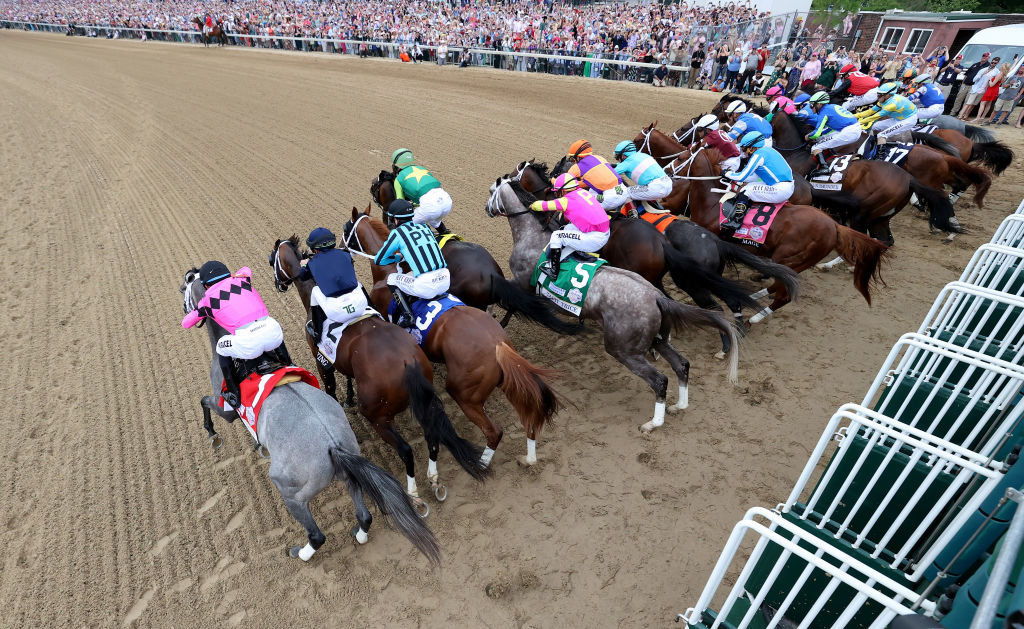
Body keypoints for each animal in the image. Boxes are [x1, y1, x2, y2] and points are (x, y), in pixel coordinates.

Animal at [180, 268, 440, 565]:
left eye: (184, 289)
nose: (182, 306)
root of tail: (334, 446)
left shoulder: (227, 409)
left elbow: (204, 402)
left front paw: (212, 433)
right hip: (349, 475)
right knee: (365, 515)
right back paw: (360, 533)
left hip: (291, 492)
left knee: (317, 535)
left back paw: (300, 553)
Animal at [268, 235, 483, 508]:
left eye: (272, 259)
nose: (278, 284)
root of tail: (408, 362)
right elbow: (348, 378)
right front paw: (348, 397)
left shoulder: (322, 361)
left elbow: (329, 389)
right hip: (422, 401)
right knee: (432, 436)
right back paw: (434, 481)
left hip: (377, 415)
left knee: (406, 451)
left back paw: (414, 496)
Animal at [344, 206, 561, 469]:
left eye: (347, 228)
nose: (342, 249)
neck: (390, 270)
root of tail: (498, 345)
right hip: (508, 378)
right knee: (528, 413)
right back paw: (529, 456)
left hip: (463, 391)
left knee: (494, 431)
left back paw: (481, 464)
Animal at [483, 177, 741, 434]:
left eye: (491, 192)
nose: (487, 208)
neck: (532, 236)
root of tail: (656, 297)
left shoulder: (522, 283)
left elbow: (504, 299)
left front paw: (493, 318)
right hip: (656, 337)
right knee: (682, 364)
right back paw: (679, 405)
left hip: (623, 348)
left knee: (659, 380)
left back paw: (653, 422)